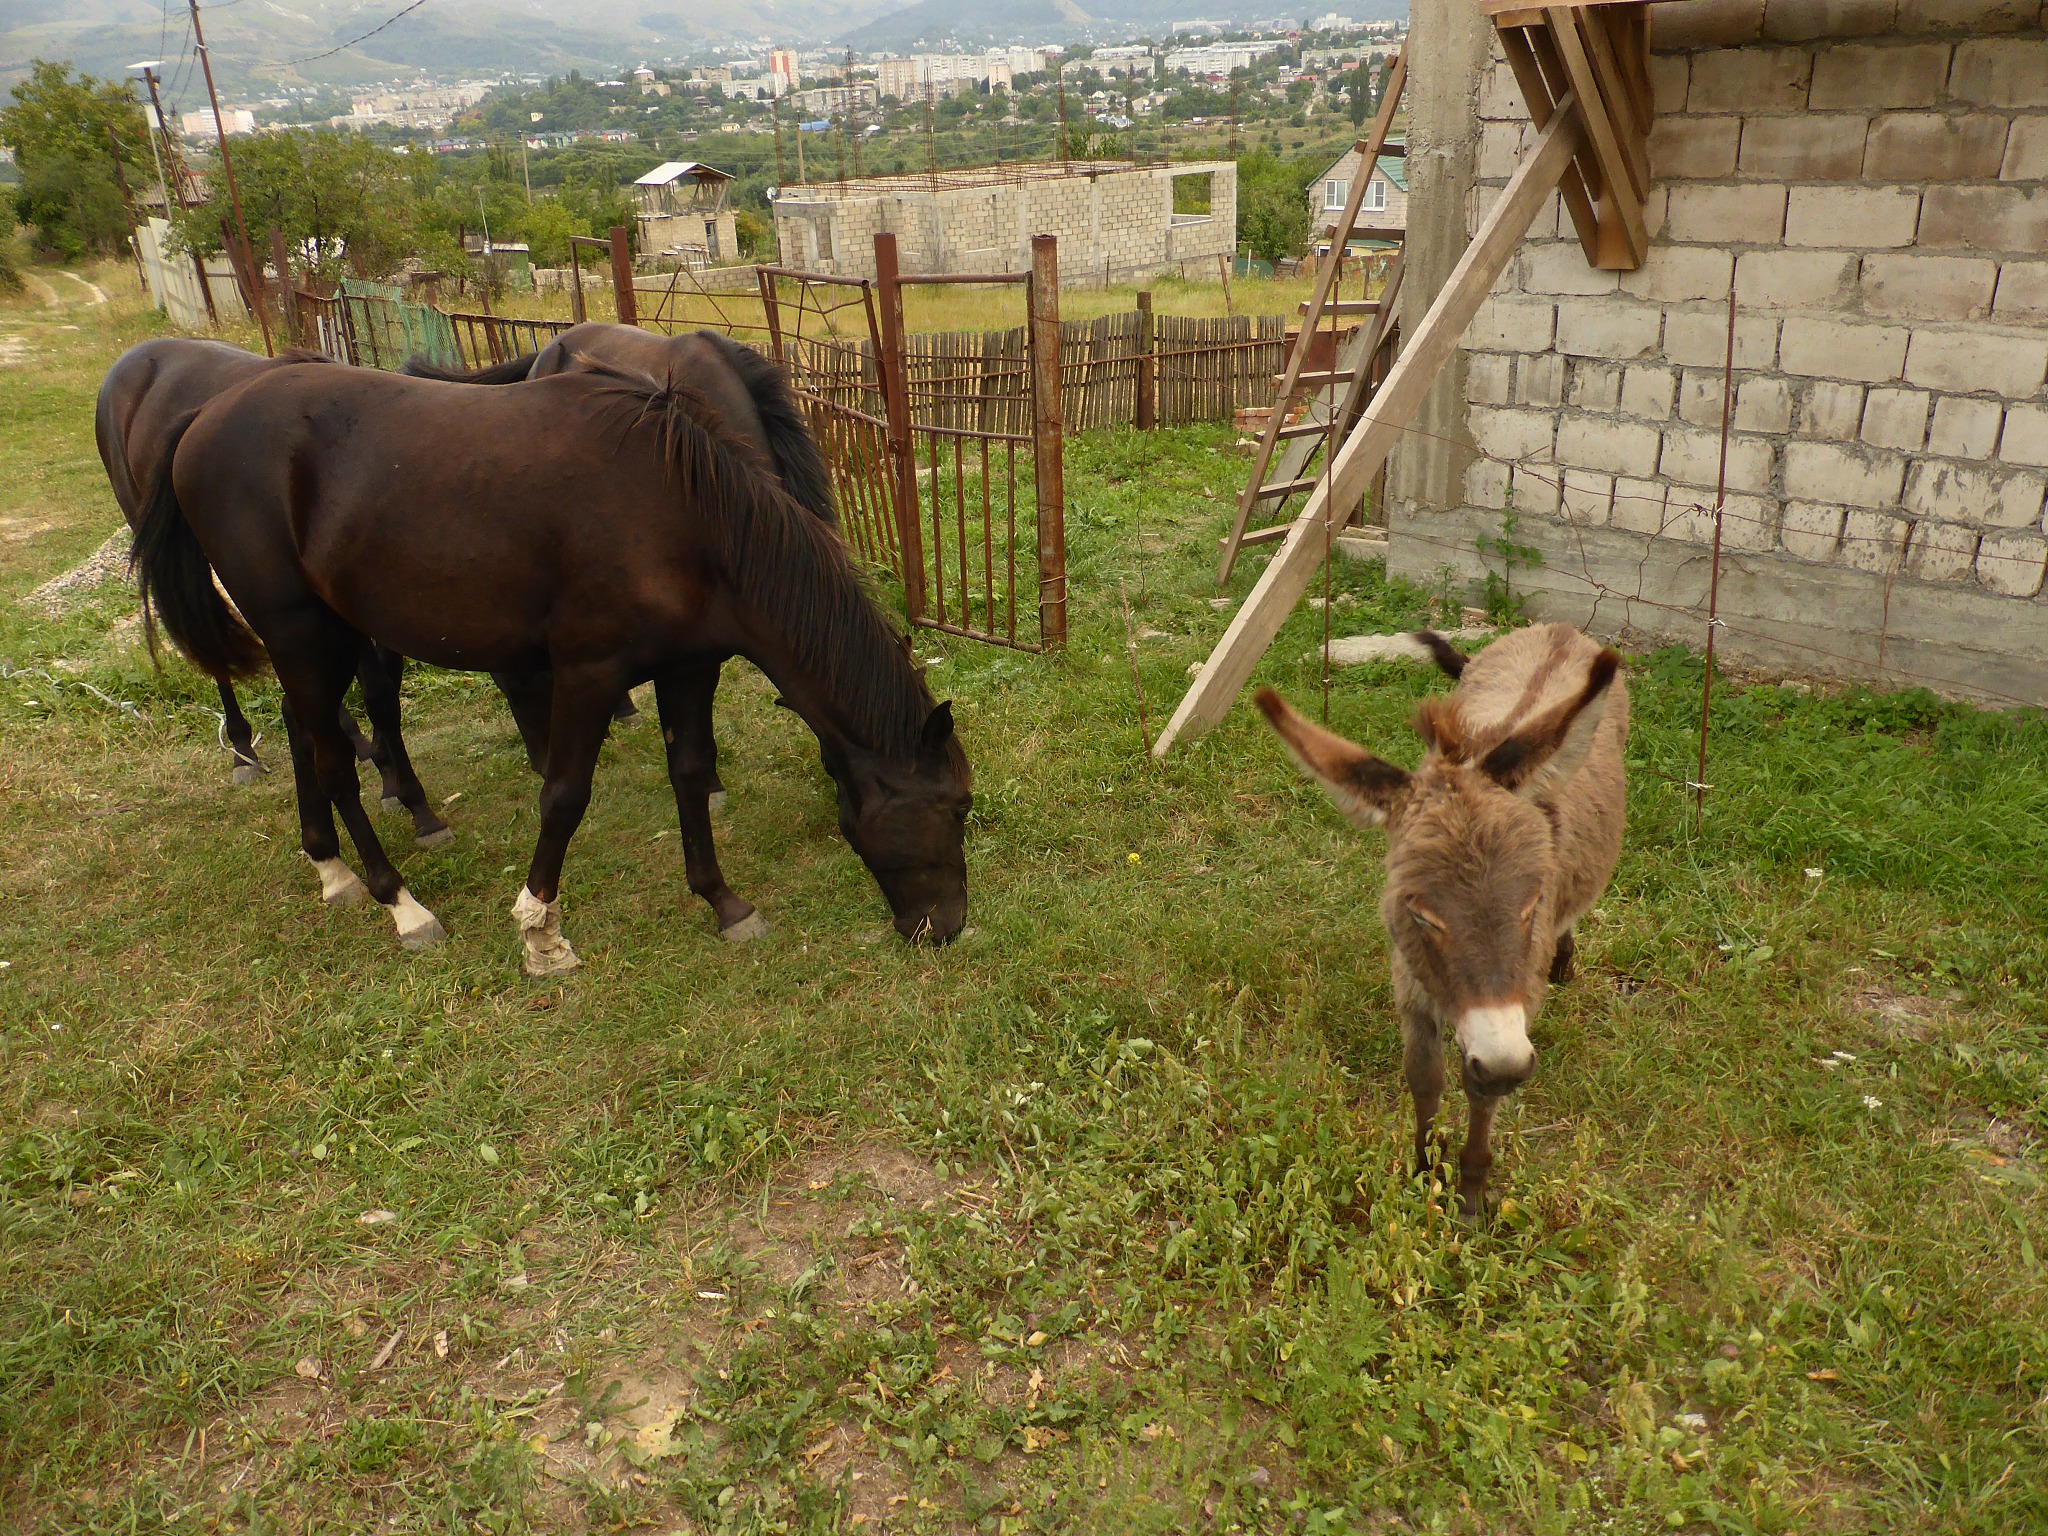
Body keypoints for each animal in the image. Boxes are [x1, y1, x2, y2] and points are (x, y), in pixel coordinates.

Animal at [131, 364, 969, 971]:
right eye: (957, 807)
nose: (947, 927)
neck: (686, 520)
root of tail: (202, 418)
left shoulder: (688, 668)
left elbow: (689, 774)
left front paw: (724, 903)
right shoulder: (590, 674)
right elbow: (564, 796)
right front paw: (541, 930)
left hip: (317, 639)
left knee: (306, 734)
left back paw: (330, 870)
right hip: (302, 634)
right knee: (336, 761)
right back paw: (401, 905)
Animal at [1255, 624, 1627, 1218]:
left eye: (1531, 904)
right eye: (1419, 914)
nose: (1505, 1064)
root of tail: (1557, 630)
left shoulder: (1517, 996)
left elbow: (1479, 1091)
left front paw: (1471, 1195)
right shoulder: (1410, 980)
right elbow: (1423, 1076)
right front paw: (1425, 1169)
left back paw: (1565, 963)